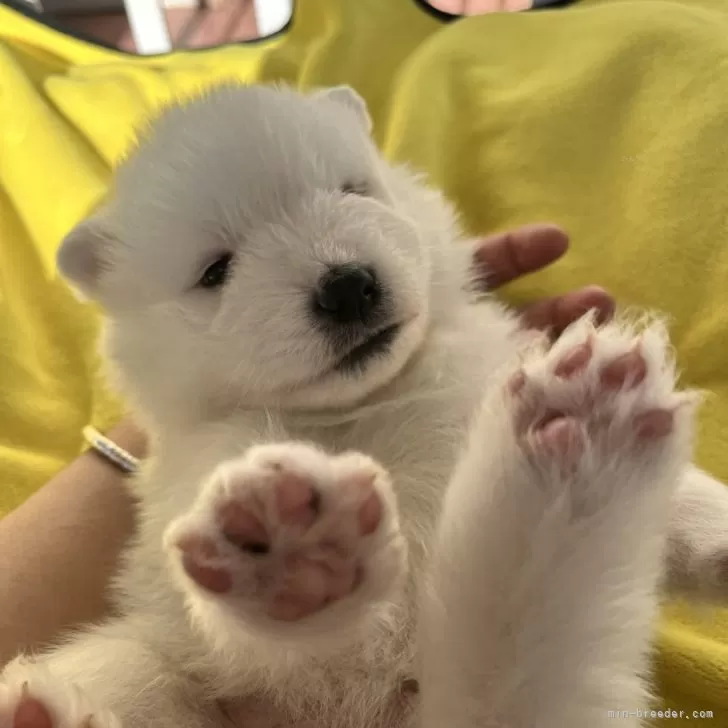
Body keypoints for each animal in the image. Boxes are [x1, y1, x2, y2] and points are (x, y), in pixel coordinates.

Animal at [4, 85, 728, 728]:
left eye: (353, 191)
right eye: (215, 271)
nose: (347, 286)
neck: (370, 405)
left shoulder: (476, 377)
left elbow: (684, 504)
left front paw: (714, 527)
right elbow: (279, 634)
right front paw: (296, 549)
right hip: (133, 658)